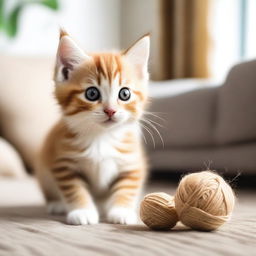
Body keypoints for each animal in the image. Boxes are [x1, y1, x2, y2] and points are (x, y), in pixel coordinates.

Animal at [35, 30, 150, 225]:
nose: (110, 110)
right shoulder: (64, 164)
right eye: (92, 93)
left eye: (125, 94)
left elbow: (127, 188)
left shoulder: (132, 163)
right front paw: (82, 211)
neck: (101, 137)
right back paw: (57, 204)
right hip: (44, 169)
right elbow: (74, 189)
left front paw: (121, 211)